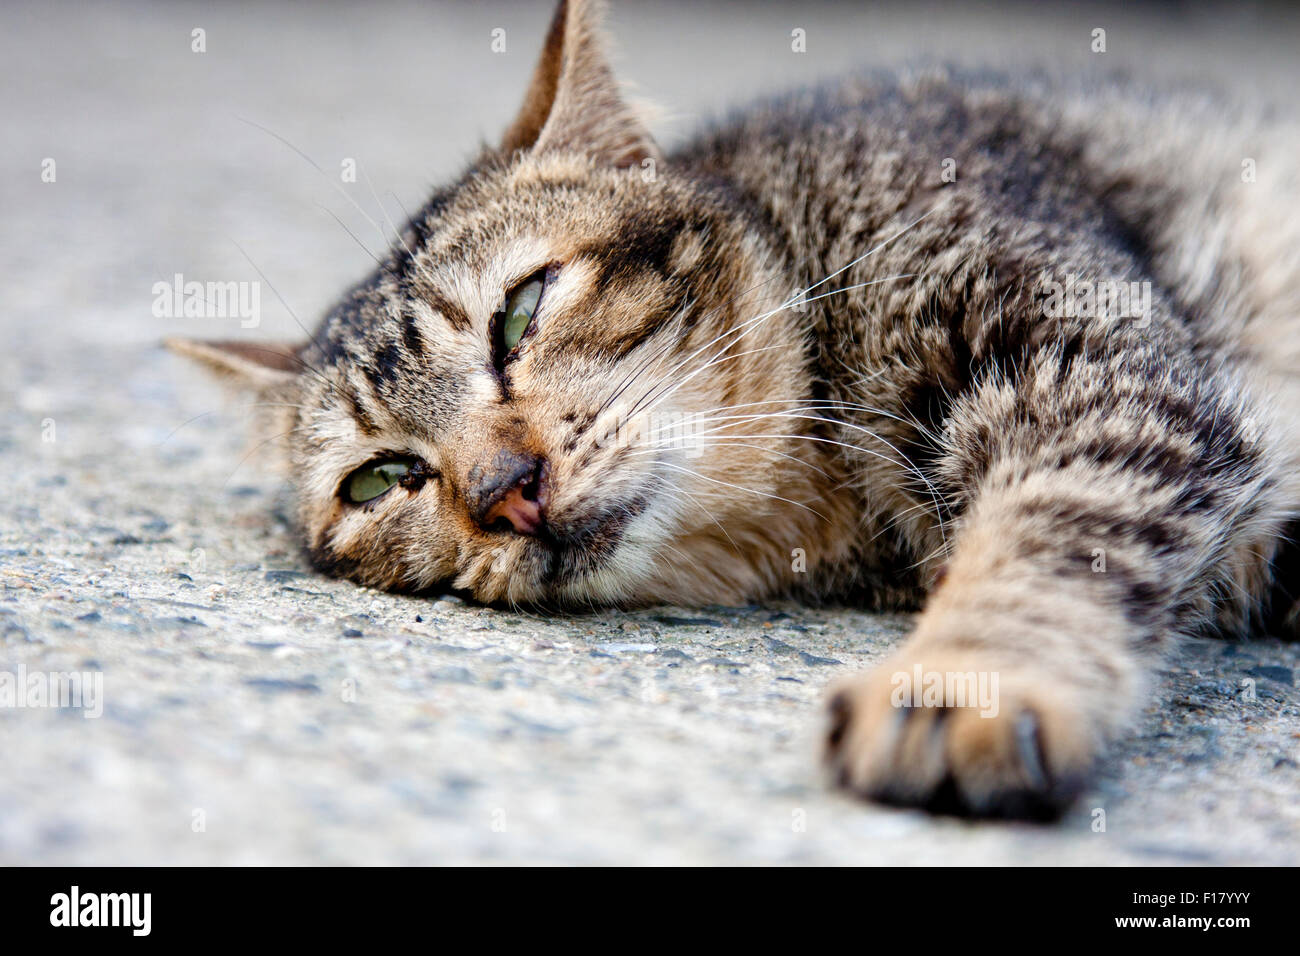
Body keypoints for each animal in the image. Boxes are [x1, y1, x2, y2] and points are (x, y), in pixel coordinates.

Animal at [167, 1, 1300, 822]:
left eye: (520, 310)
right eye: (381, 479)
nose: (505, 491)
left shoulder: (1091, 372)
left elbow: (1054, 528)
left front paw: (964, 681)